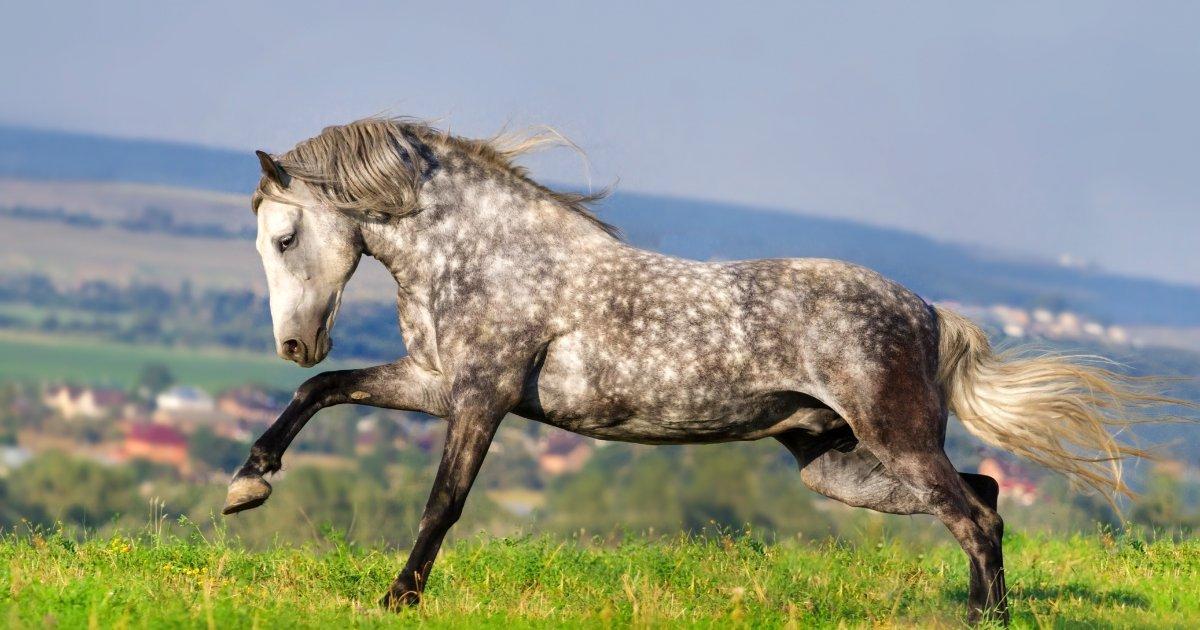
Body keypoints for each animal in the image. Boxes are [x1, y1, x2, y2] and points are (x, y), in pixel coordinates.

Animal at [224, 116, 1183, 624]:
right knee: (982, 498)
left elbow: (444, 501)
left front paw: (398, 599)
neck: (491, 255)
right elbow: (321, 394)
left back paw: (990, 618)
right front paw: (247, 484)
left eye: (285, 236)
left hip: (895, 441)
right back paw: (980, 611)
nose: (295, 341)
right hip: (838, 465)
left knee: (975, 516)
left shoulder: (482, 397)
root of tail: (930, 315)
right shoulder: (436, 383)